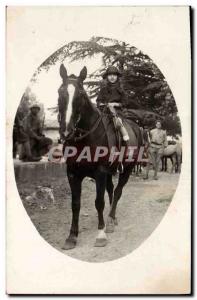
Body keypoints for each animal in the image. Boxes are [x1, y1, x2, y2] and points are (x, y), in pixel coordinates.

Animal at [57, 63, 141, 248]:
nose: (66, 131)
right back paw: (112, 219)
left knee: (117, 191)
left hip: (127, 169)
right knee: (111, 190)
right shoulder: (73, 173)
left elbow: (99, 202)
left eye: (81, 94)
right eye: (60, 92)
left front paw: (101, 234)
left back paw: (109, 220)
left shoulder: (100, 172)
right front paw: (72, 236)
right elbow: (75, 204)